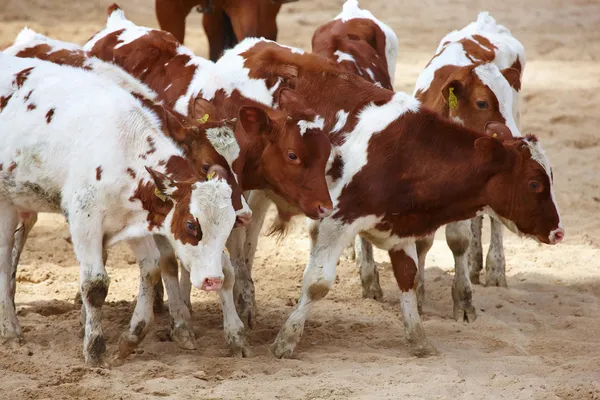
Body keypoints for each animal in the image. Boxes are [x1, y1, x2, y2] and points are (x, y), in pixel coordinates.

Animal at [84, 3, 336, 328]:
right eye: (293, 155)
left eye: (326, 153)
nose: (325, 207)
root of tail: (116, 23)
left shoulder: (239, 202)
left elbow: (236, 254)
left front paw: (245, 305)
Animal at [220, 39, 564, 358]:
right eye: (535, 183)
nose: (558, 231)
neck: (408, 154)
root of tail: (250, 48)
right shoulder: (336, 219)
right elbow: (317, 283)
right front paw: (286, 341)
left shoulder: (400, 225)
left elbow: (408, 277)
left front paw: (419, 339)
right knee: (241, 242)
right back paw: (242, 303)